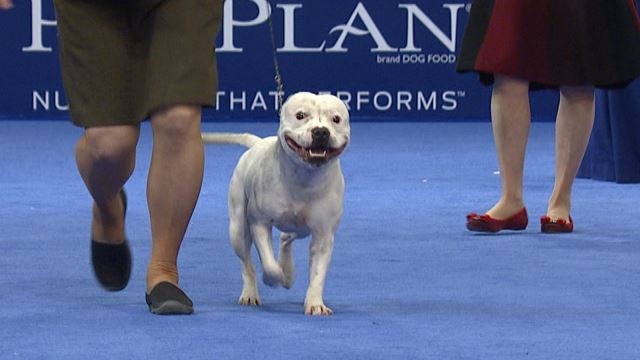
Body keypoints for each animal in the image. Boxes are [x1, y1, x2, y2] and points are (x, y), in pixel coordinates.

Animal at [202, 92, 350, 316]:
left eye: (336, 119)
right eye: (300, 115)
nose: (321, 132)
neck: (304, 177)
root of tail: (258, 143)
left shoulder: (324, 235)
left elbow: (318, 274)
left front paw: (315, 303)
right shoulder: (259, 223)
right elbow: (269, 265)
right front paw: (274, 277)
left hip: (301, 228)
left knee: (286, 237)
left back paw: (288, 272)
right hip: (238, 229)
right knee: (247, 264)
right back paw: (251, 292)